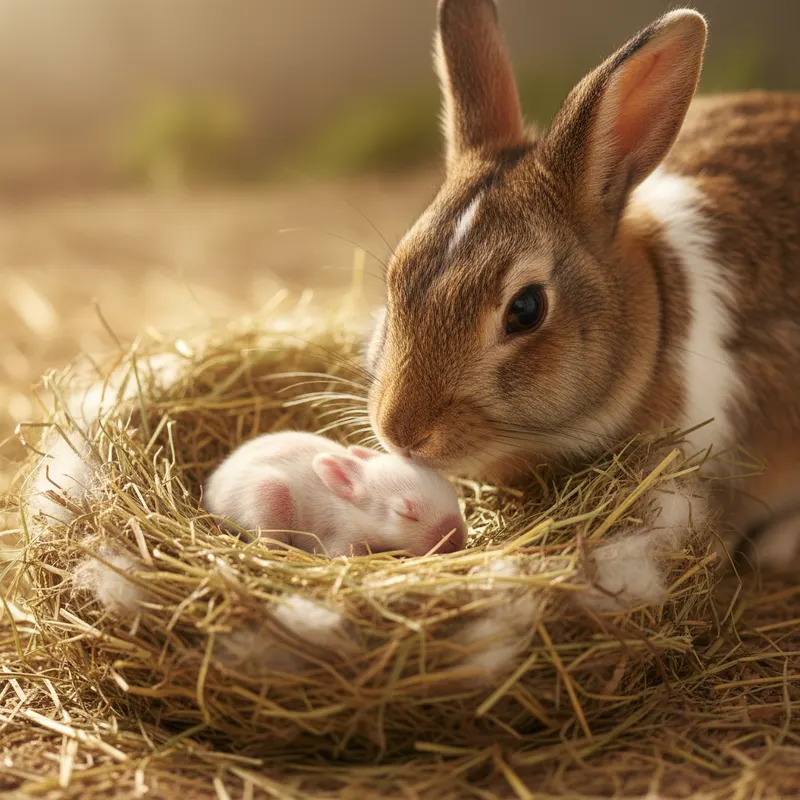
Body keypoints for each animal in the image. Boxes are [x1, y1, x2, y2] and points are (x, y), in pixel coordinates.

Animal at [203, 431, 468, 557]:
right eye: (405, 514)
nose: (457, 539)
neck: (353, 512)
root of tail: (210, 493)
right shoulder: (341, 537)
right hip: (268, 494)